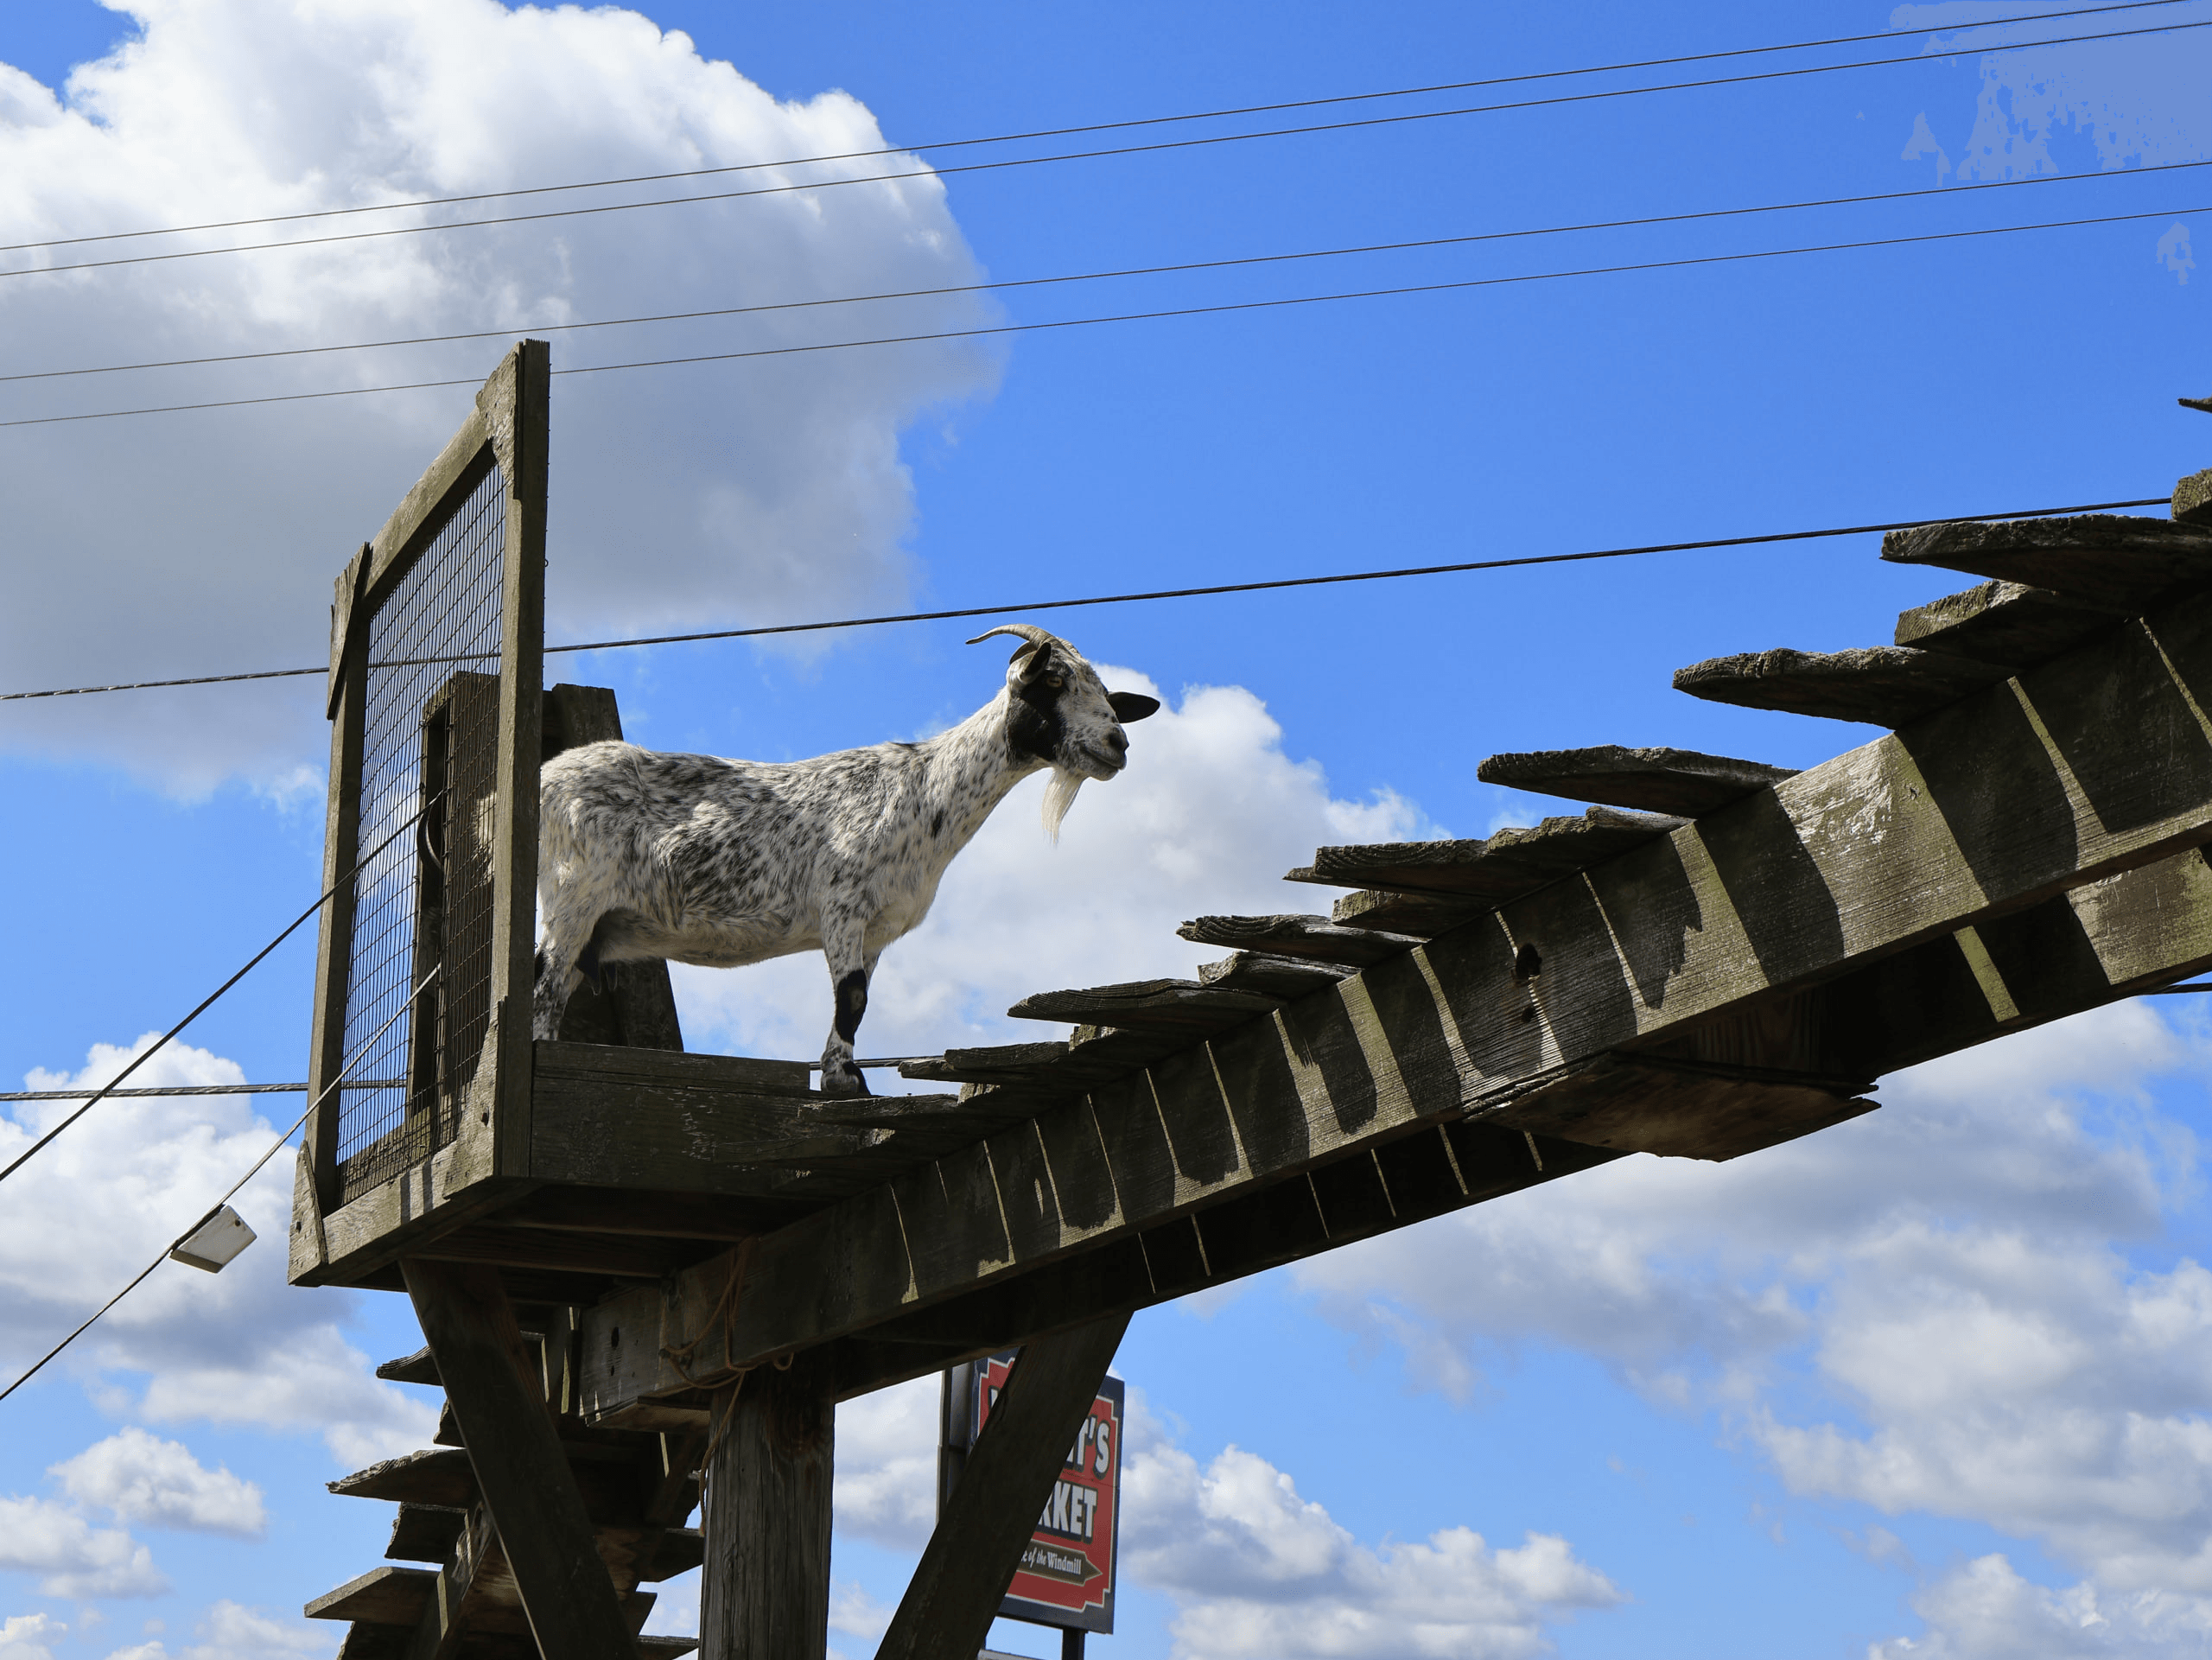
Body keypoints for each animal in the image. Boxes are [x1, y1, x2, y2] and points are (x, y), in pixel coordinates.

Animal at [530, 623, 1159, 1094]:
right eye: (1052, 679)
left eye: (1108, 698)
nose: (1117, 745)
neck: (926, 793)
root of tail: (544, 777)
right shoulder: (842, 902)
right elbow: (852, 994)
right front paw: (846, 1083)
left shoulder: (877, 926)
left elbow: (857, 1000)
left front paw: (846, 1073)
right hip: (573, 893)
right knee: (545, 980)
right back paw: (540, 1051)